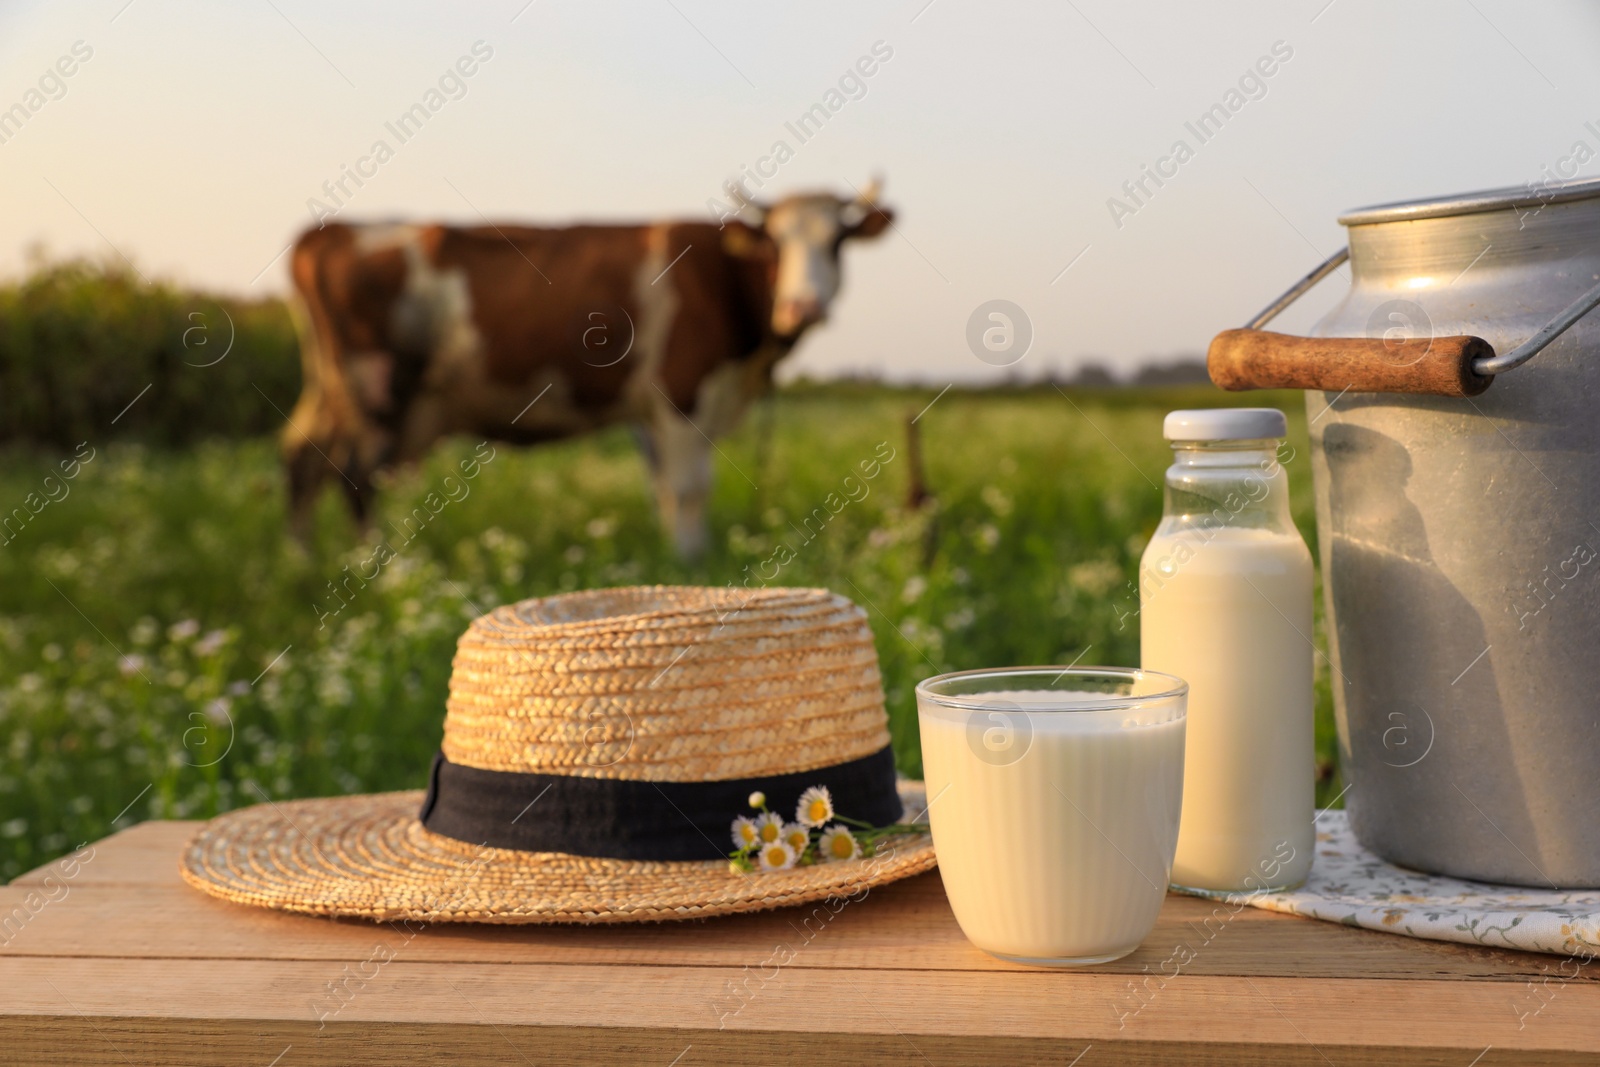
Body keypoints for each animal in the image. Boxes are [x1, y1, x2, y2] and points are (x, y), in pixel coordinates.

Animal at [281, 181, 896, 559]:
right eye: (775, 242)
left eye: (838, 241)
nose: (803, 307)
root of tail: (330, 231)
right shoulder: (682, 393)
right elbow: (690, 488)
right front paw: (693, 562)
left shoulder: (660, 411)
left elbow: (667, 490)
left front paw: (683, 558)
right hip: (377, 386)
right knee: (355, 475)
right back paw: (380, 569)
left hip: (335, 388)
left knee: (301, 458)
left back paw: (305, 562)